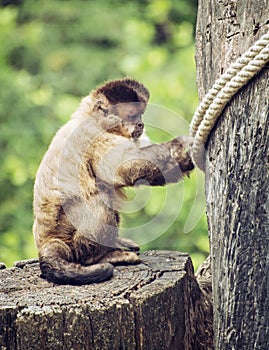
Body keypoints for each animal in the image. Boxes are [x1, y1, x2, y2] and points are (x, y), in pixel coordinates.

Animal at [33, 78, 193, 284]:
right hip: (67, 232)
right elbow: (126, 167)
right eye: (133, 115)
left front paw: (182, 160)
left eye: (141, 114)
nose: (141, 124)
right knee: (99, 200)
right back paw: (100, 257)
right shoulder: (92, 135)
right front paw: (177, 147)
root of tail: (46, 240)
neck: (94, 120)